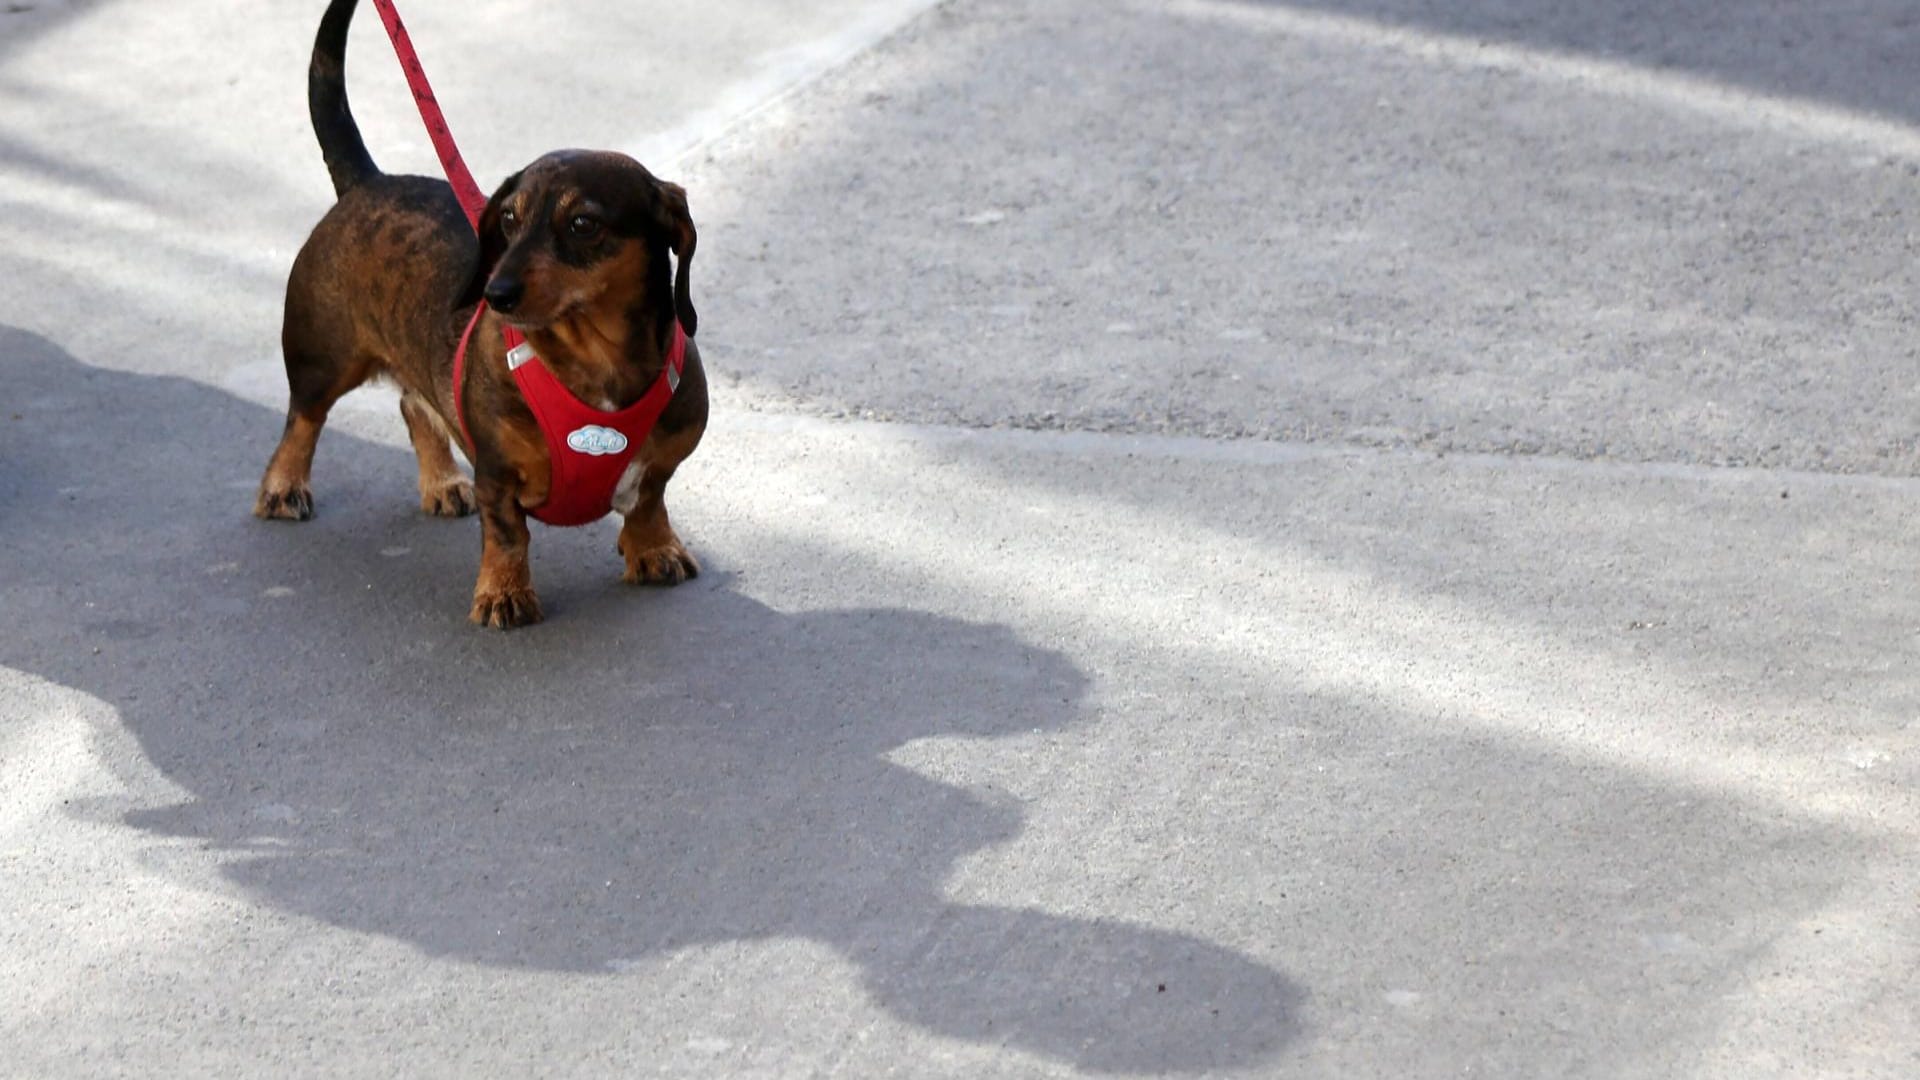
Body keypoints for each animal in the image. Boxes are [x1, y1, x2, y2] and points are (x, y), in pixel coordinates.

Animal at [253, 0, 706, 626]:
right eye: (510, 218)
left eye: (583, 224)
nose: (495, 294)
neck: (596, 359)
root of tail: (367, 181)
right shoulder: (498, 472)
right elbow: (509, 535)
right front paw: (504, 594)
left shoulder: (666, 456)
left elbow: (648, 498)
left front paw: (654, 548)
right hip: (323, 357)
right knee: (303, 418)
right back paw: (283, 485)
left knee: (414, 403)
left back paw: (443, 482)